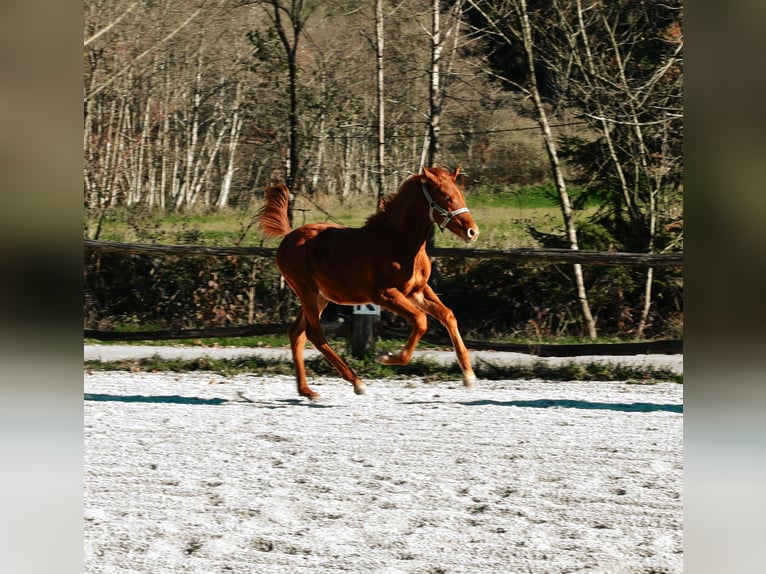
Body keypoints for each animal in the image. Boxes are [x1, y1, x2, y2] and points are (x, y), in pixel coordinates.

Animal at [260, 168, 484, 400]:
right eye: (446, 197)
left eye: (460, 195)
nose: (472, 232)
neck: (399, 242)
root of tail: (288, 236)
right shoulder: (384, 294)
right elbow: (421, 320)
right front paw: (387, 358)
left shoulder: (417, 291)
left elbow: (448, 315)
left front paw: (469, 376)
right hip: (307, 291)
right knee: (315, 334)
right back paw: (356, 382)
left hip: (321, 296)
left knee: (297, 333)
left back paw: (307, 390)